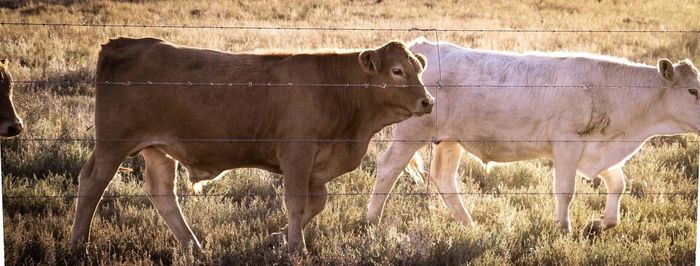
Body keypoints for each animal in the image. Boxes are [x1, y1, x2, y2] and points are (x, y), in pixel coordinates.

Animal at [71, 37, 432, 251]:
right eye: (397, 71)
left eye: (418, 68)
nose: (427, 102)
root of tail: (123, 43)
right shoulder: (297, 155)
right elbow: (296, 202)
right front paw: (296, 246)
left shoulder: (315, 167)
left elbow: (316, 203)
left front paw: (281, 236)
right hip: (113, 143)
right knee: (92, 182)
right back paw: (79, 244)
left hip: (158, 150)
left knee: (162, 193)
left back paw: (193, 246)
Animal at [366, 37, 700, 233]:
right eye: (692, 91)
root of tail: (421, 47)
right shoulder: (567, 144)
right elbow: (566, 191)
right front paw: (564, 229)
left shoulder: (598, 149)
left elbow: (618, 183)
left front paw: (605, 222)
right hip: (411, 133)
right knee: (388, 168)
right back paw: (372, 221)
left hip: (449, 140)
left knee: (444, 178)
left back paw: (469, 224)